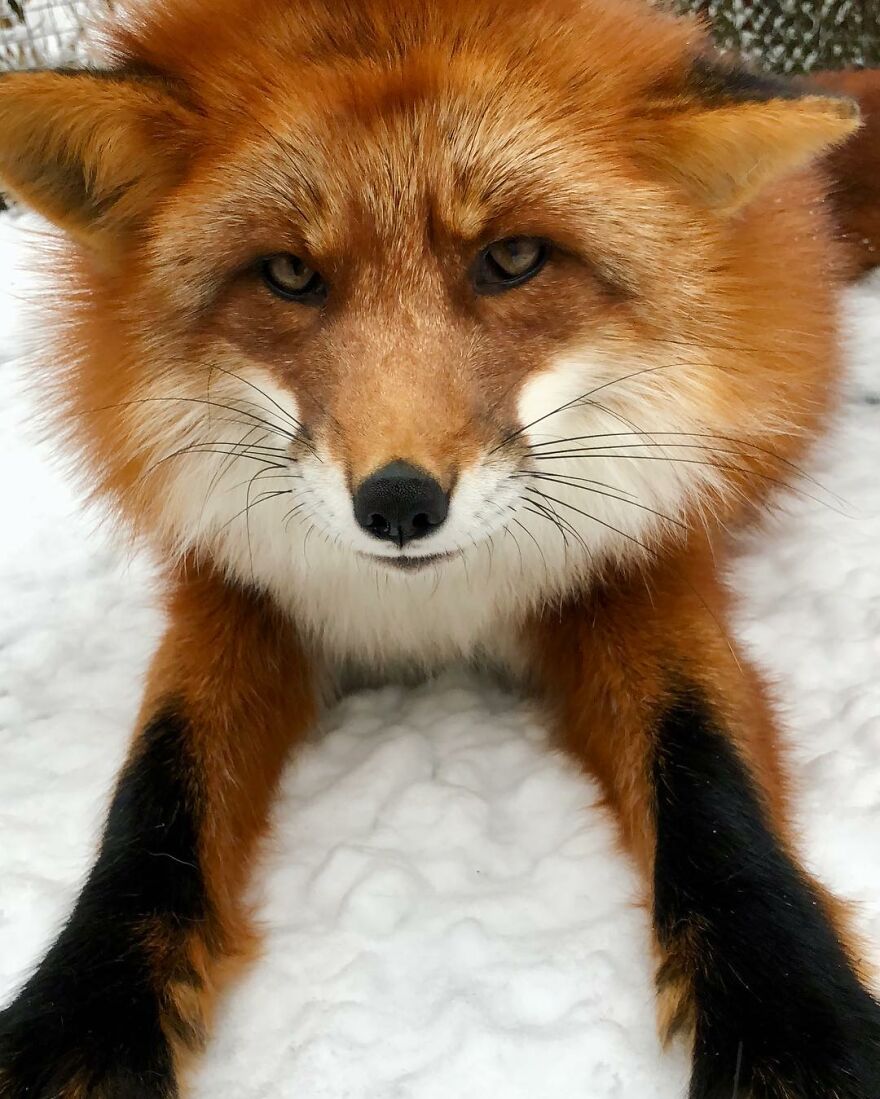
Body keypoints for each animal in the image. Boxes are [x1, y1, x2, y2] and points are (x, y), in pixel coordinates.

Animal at [1, 0, 880, 1095]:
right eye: (289, 273)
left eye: (510, 259)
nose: (398, 504)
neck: (430, 610)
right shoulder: (241, 583)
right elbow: (161, 782)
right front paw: (88, 1010)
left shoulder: (635, 562)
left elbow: (704, 767)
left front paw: (790, 1011)